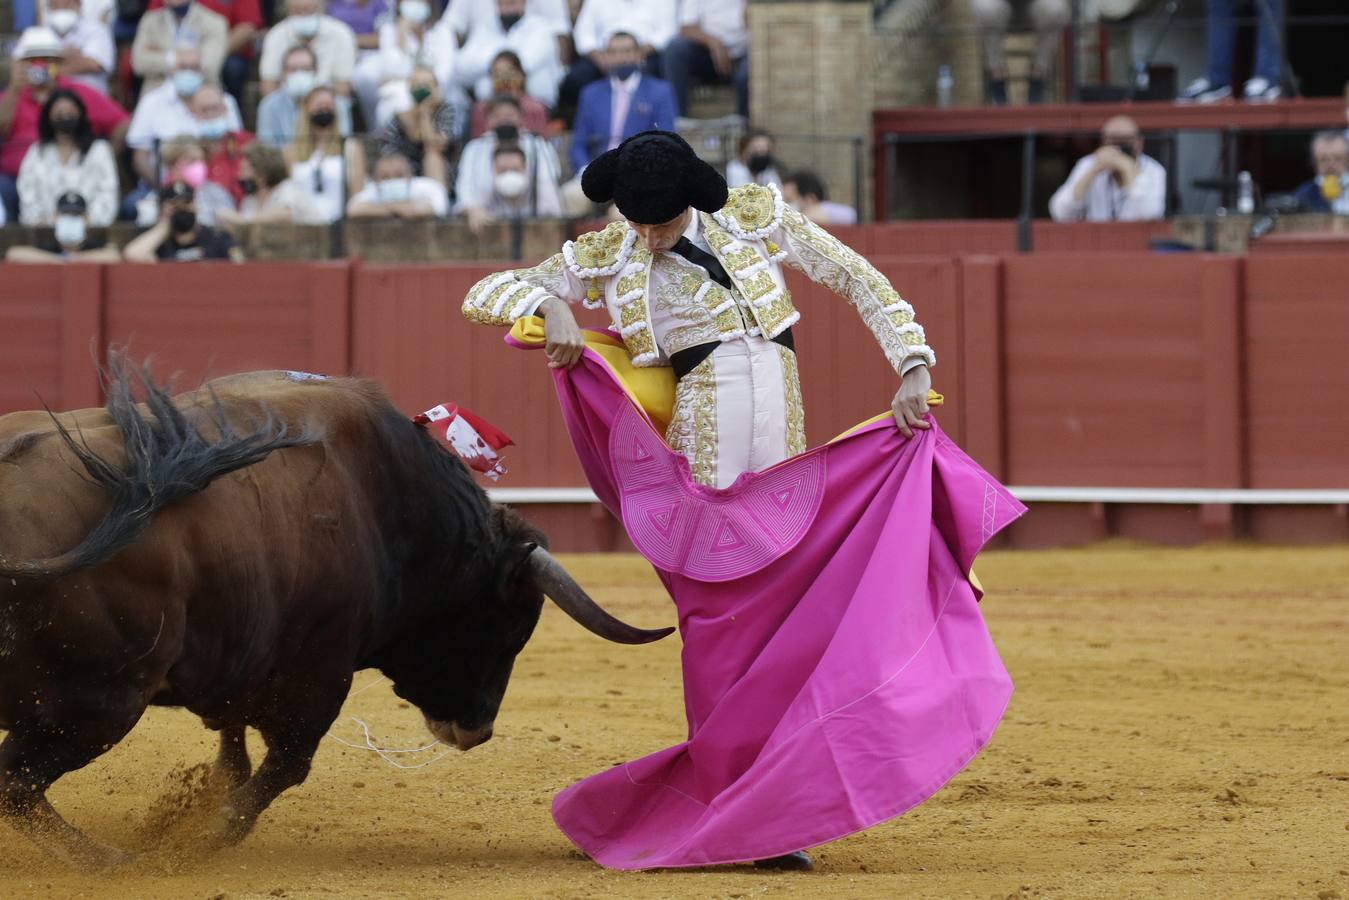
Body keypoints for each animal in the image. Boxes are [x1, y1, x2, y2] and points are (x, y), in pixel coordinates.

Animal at [0, 358, 671, 874]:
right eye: (505, 628)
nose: (476, 731)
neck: (386, 503)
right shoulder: (317, 674)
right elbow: (284, 766)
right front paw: (206, 838)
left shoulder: (243, 658)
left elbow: (233, 747)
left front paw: (196, 812)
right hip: (98, 702)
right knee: (16, 784)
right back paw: (108, 861)